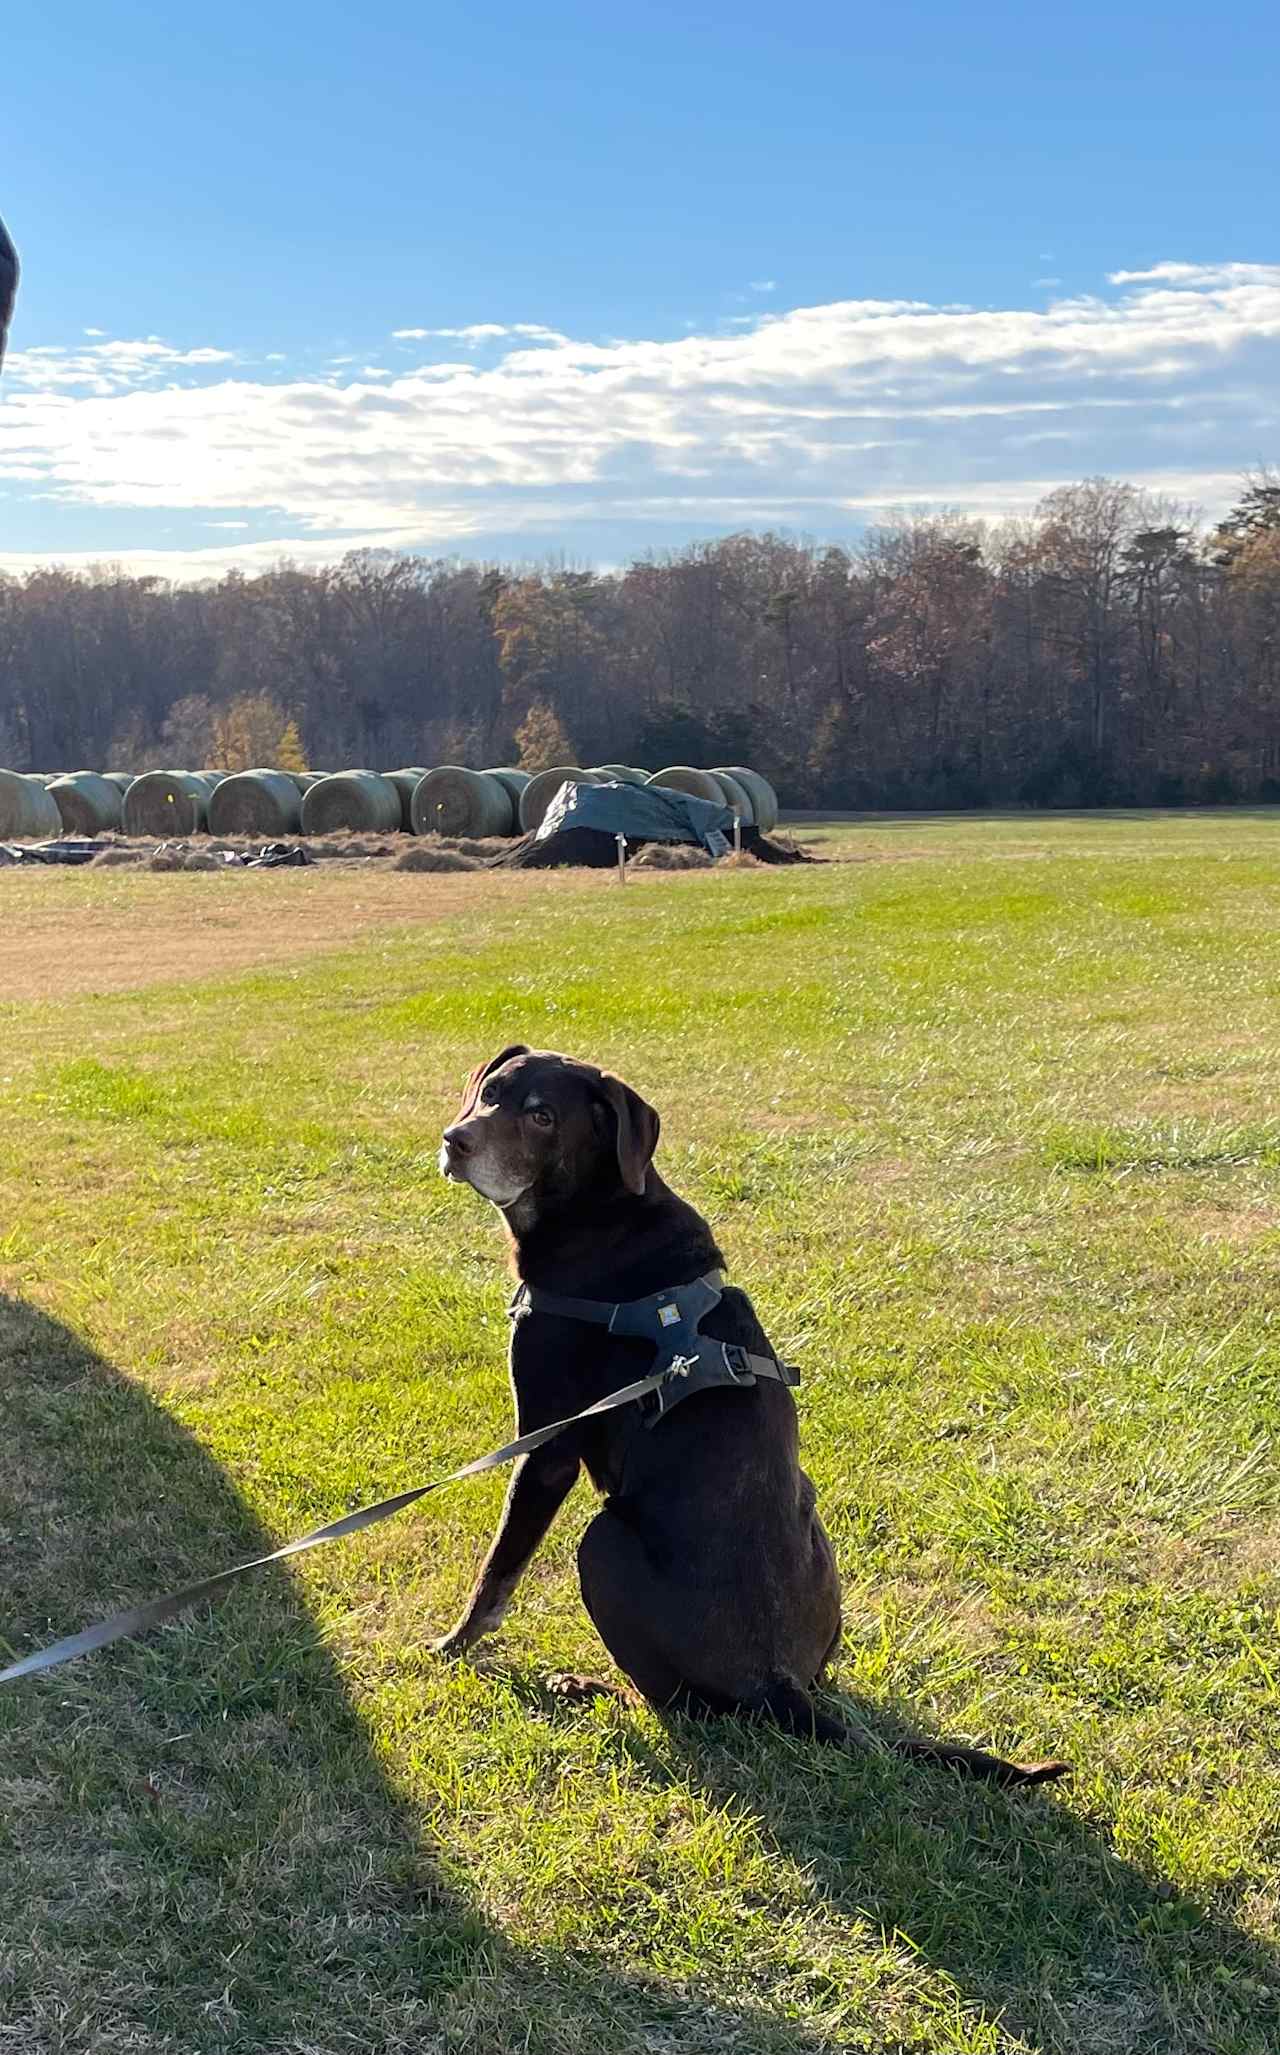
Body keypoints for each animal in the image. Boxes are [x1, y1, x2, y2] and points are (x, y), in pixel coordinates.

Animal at [435, 1043, 1068, 1783]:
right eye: (489, 1092)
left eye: (541, 1116)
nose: (454, 1140)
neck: (600, 1213)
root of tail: (780, 1683)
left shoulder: (546, 1449)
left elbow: (497, 1570)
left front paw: (453, 1644)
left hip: (603, 1543)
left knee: (677, 1705)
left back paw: (591, 1688)